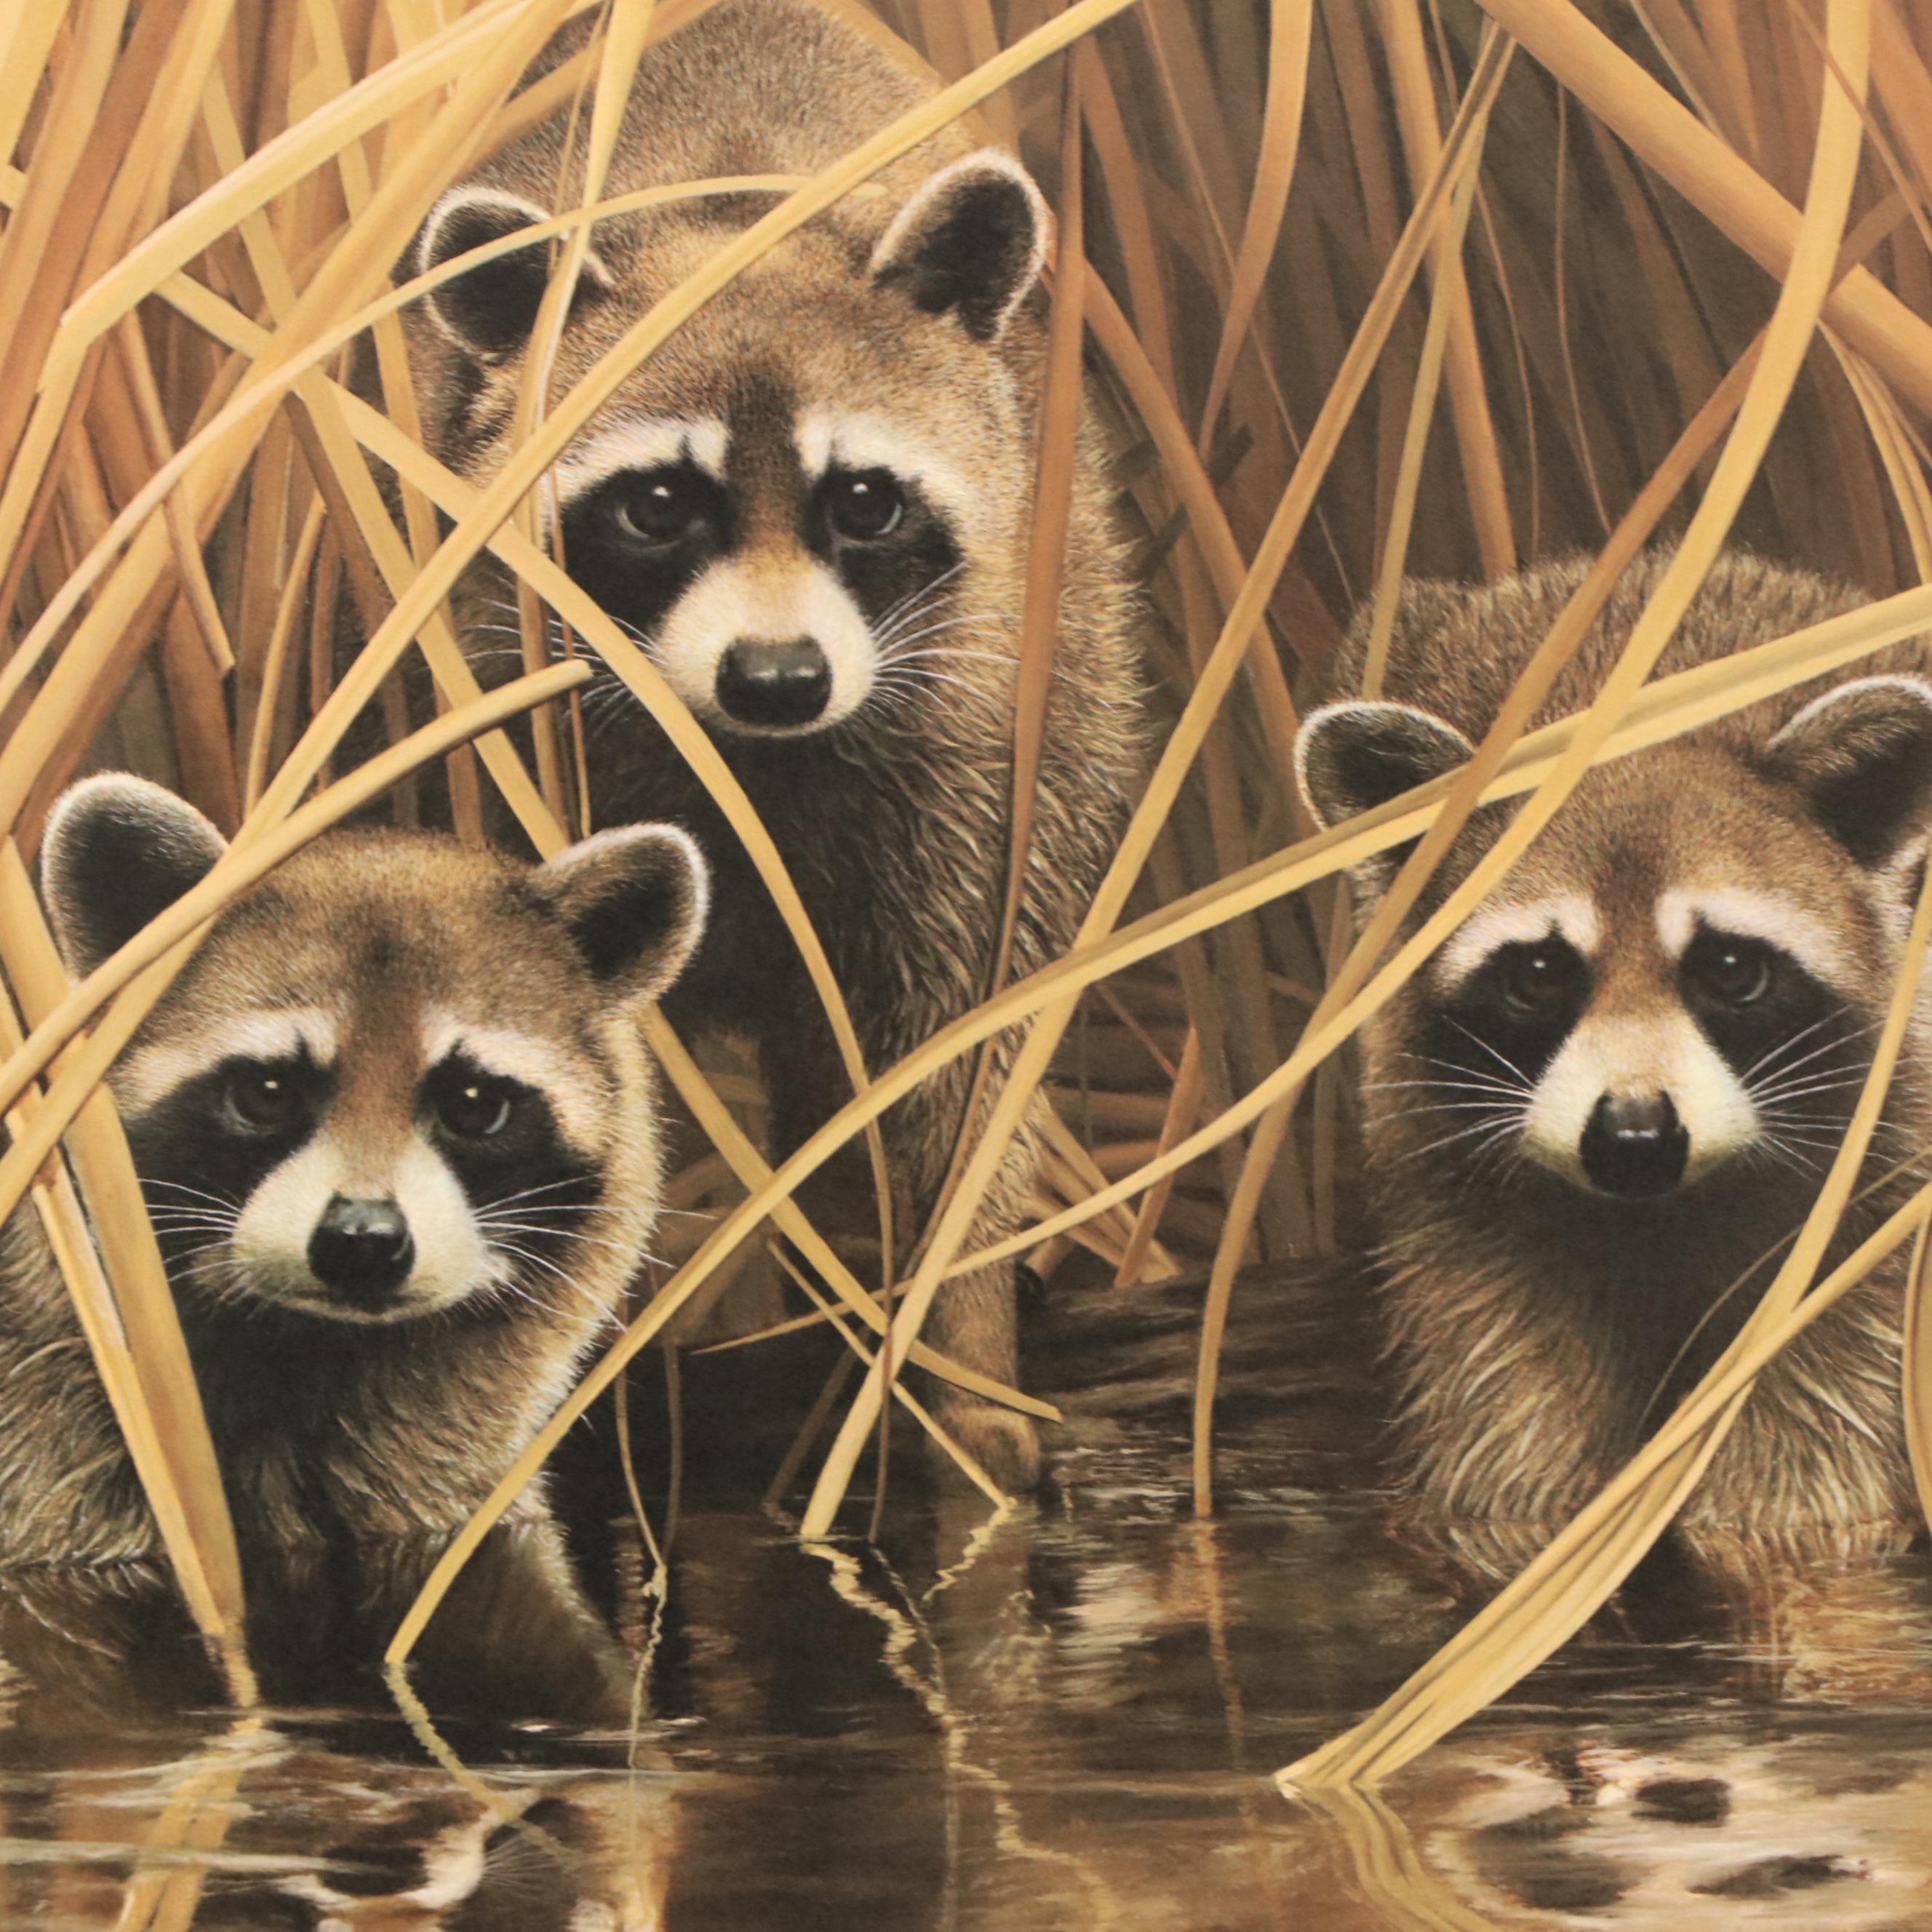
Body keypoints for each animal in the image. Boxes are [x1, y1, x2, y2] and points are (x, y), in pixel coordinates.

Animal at [397, 0, 1144, 1488]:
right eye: (655, 506)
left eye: (861, 500)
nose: (780, 678)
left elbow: (955, 1067)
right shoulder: (509, 711)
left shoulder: (993, 743)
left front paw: (963, 1364)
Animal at [1296, 549, 1932, 1563]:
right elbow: (1507, 1429)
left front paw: (1776, 1530)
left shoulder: (1879, 1160)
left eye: (1730, 969)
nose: (1635, 1137)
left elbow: (1812, 1436)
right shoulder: (1454, 1194)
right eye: (1537, 975)